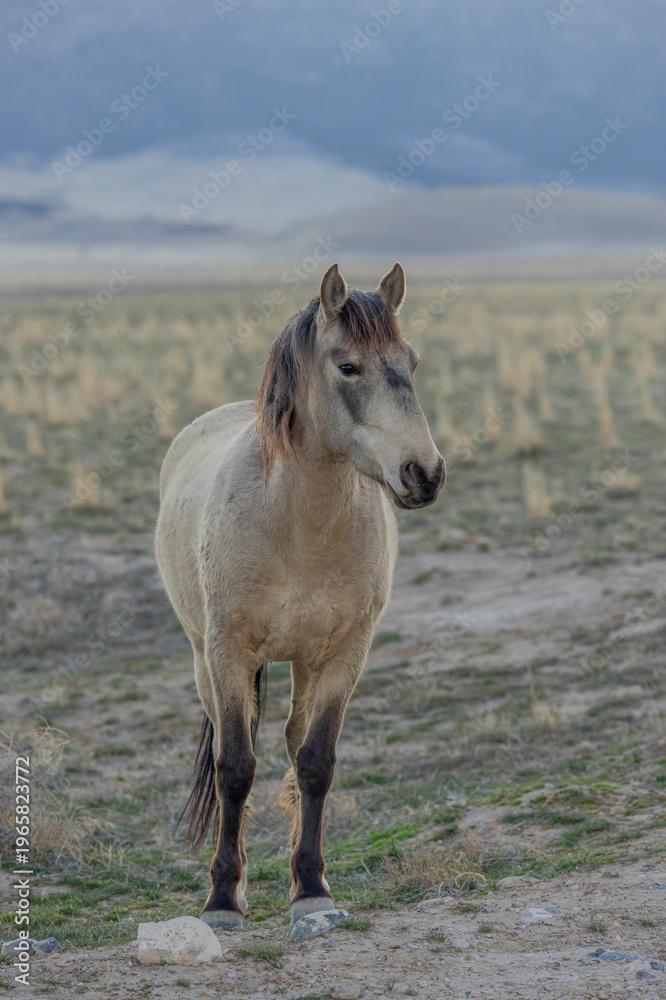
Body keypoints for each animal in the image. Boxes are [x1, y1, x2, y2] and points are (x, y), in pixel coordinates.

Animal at [155, 262, 445, 929]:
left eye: (411, 362)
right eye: (348, 367)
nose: (424, 473)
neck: (295, 524)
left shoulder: (345, 653)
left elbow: (315, 762)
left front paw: (311, 888)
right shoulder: (228, 652)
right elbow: (234, 768)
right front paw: (222, 897)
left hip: (303, 663)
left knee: (292, 743)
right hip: (203, 660)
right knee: (232, 749)